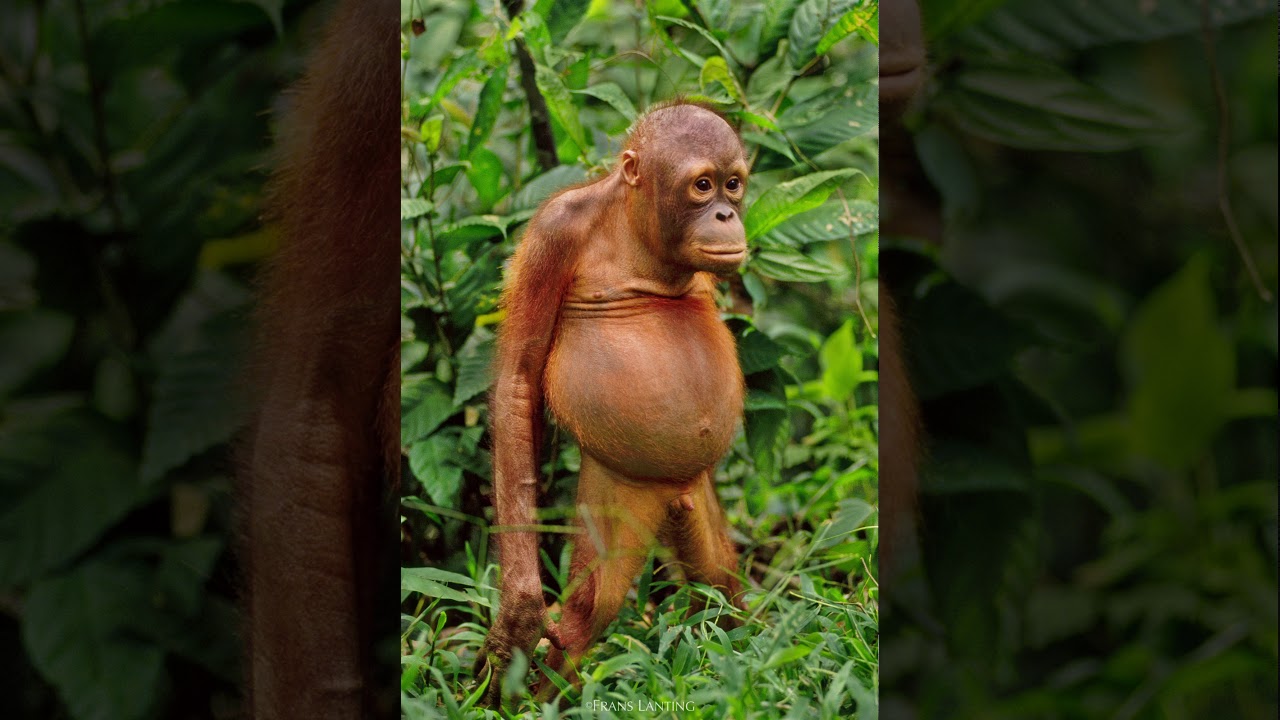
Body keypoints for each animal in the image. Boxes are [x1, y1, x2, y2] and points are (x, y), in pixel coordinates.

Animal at [473, 101, 750, 705]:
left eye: (734, 184)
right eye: (702, 185)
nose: (726, 214)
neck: (636, 229)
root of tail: (669, 496)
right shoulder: (555, 230)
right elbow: (518, 382)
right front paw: (520, 616)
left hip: (691, 493)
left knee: (719, 577)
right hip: (619, 493)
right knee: (590, 607)